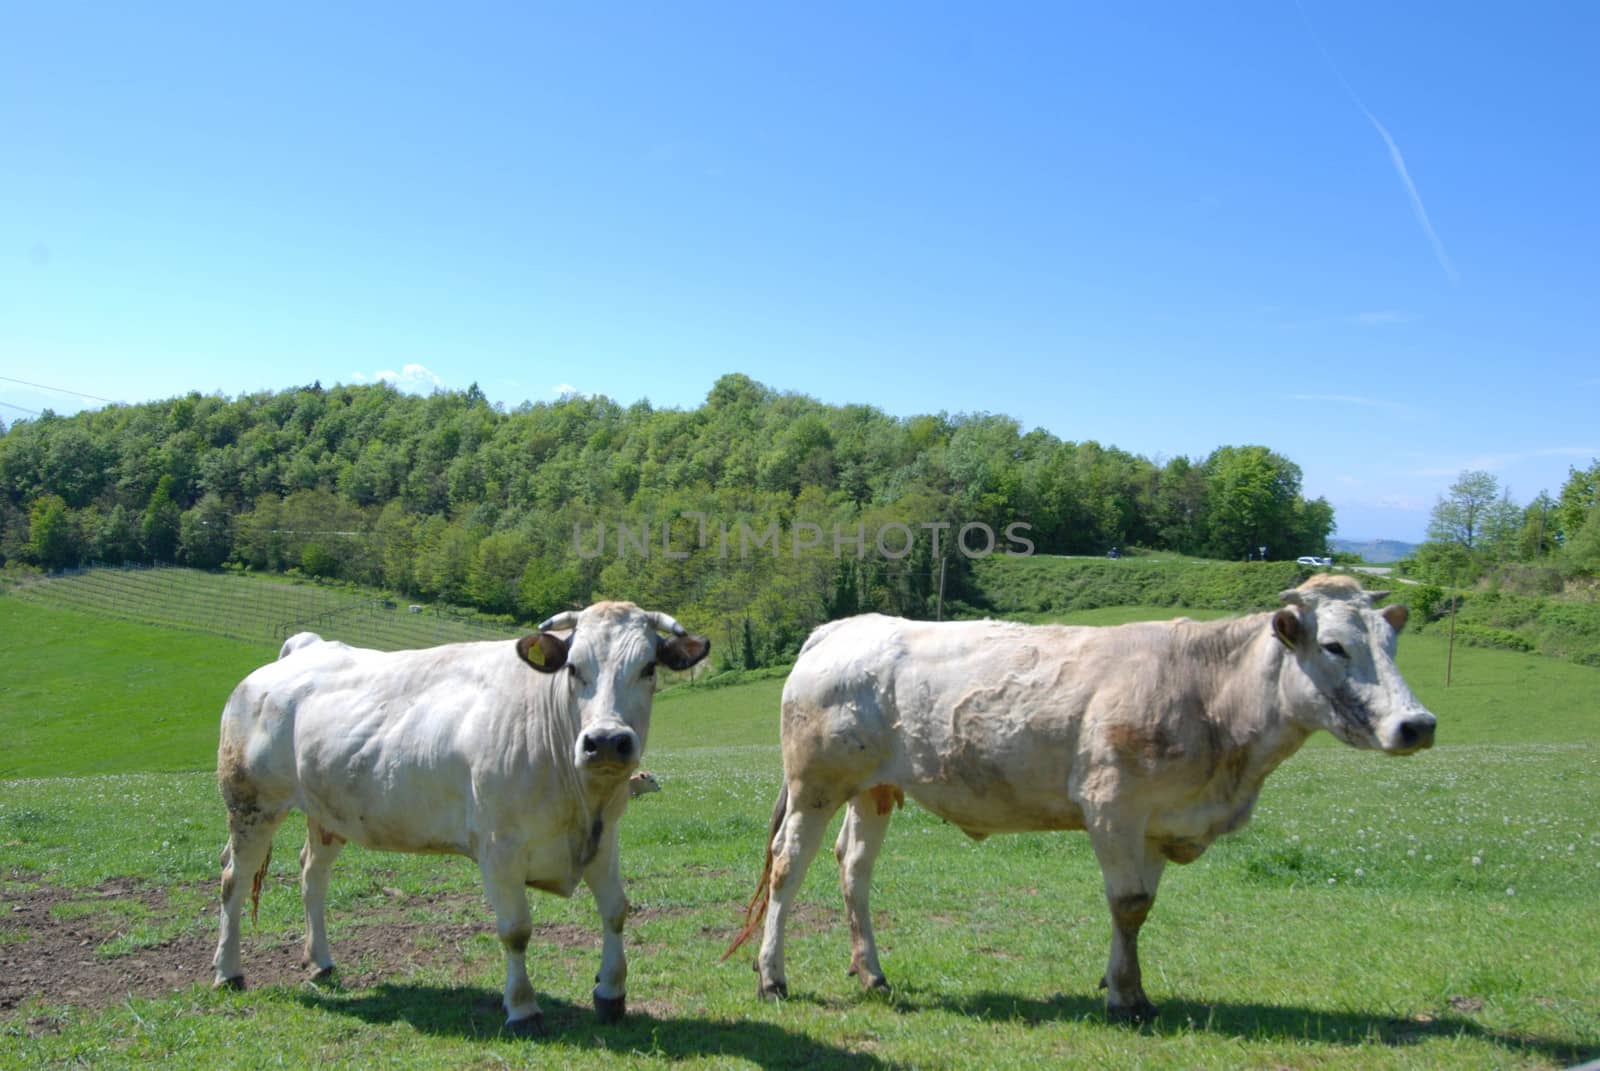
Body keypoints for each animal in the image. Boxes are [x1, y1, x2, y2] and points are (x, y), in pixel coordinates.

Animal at [211, 601, 707, 1024]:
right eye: (573, 668)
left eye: (648, 668)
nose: (605, 741)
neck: (581, 798)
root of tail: (305, 647)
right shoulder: (499, 848)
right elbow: (516, 930)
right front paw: (522, 1008)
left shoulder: (604, 839)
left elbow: (616, 911)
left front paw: (611, 993)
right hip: (250, 803)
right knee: (234, 879)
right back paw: (228, 972)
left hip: (328, 811)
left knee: (312, 874)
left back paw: (322, 962)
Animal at [726, 576, 1440, 1018]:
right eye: (1335, 645)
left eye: (1391, 642)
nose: (1418, 724)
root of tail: (843, 626)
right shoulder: (1112, 804)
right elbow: (1127, 903)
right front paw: (1126, 997)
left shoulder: (1160, 819)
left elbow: (1142, 908)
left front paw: (1124, 981)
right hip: (815, 785)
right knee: (789, 868)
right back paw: (773, 977)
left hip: (874, 788)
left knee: (854, 867)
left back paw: (871, 971)